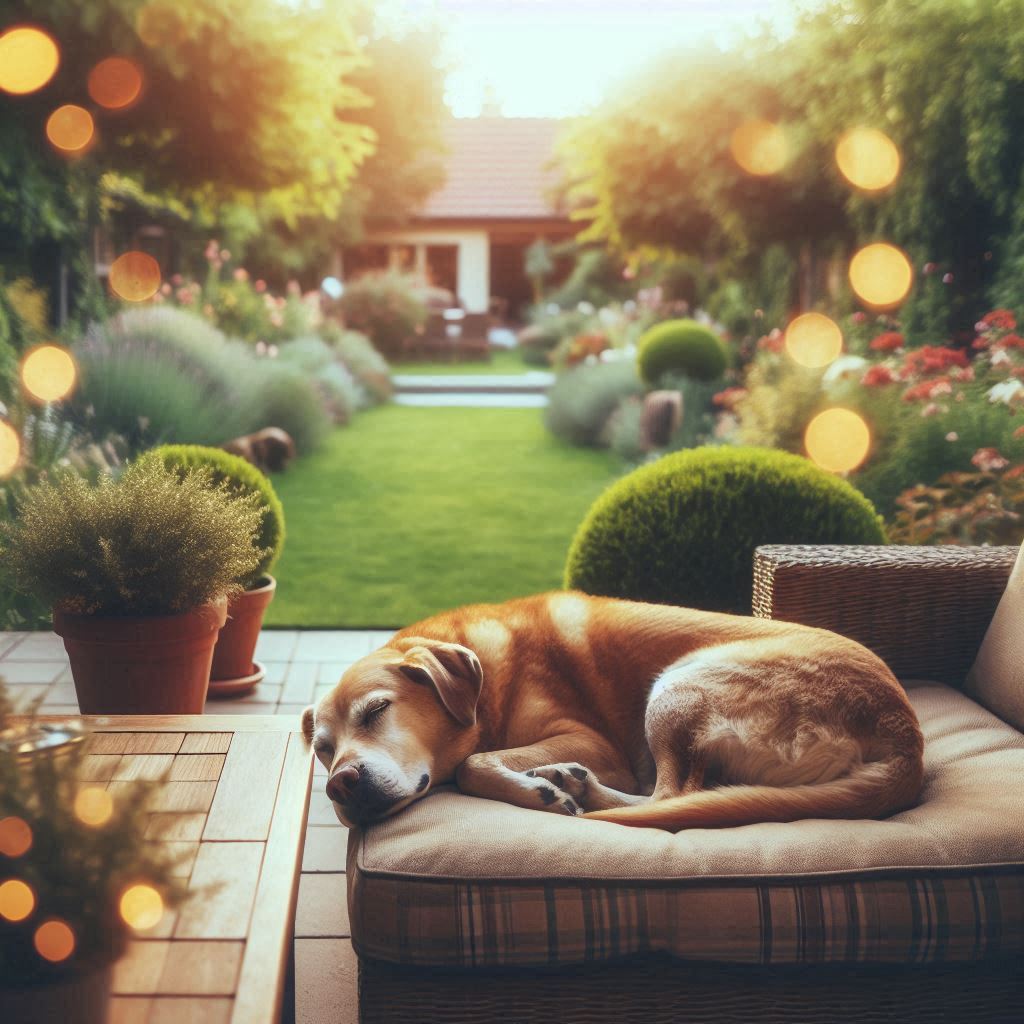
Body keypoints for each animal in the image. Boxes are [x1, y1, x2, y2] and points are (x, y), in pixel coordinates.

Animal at [299, 593, 925, 831]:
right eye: (323, 751)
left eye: (377, 711)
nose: (340, 784)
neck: (486, 685)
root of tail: (908, 738)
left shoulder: (590, 740)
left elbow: (473, 763)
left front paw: (536, 792)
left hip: (677, 688)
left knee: (673, 798)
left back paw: (578, 789)